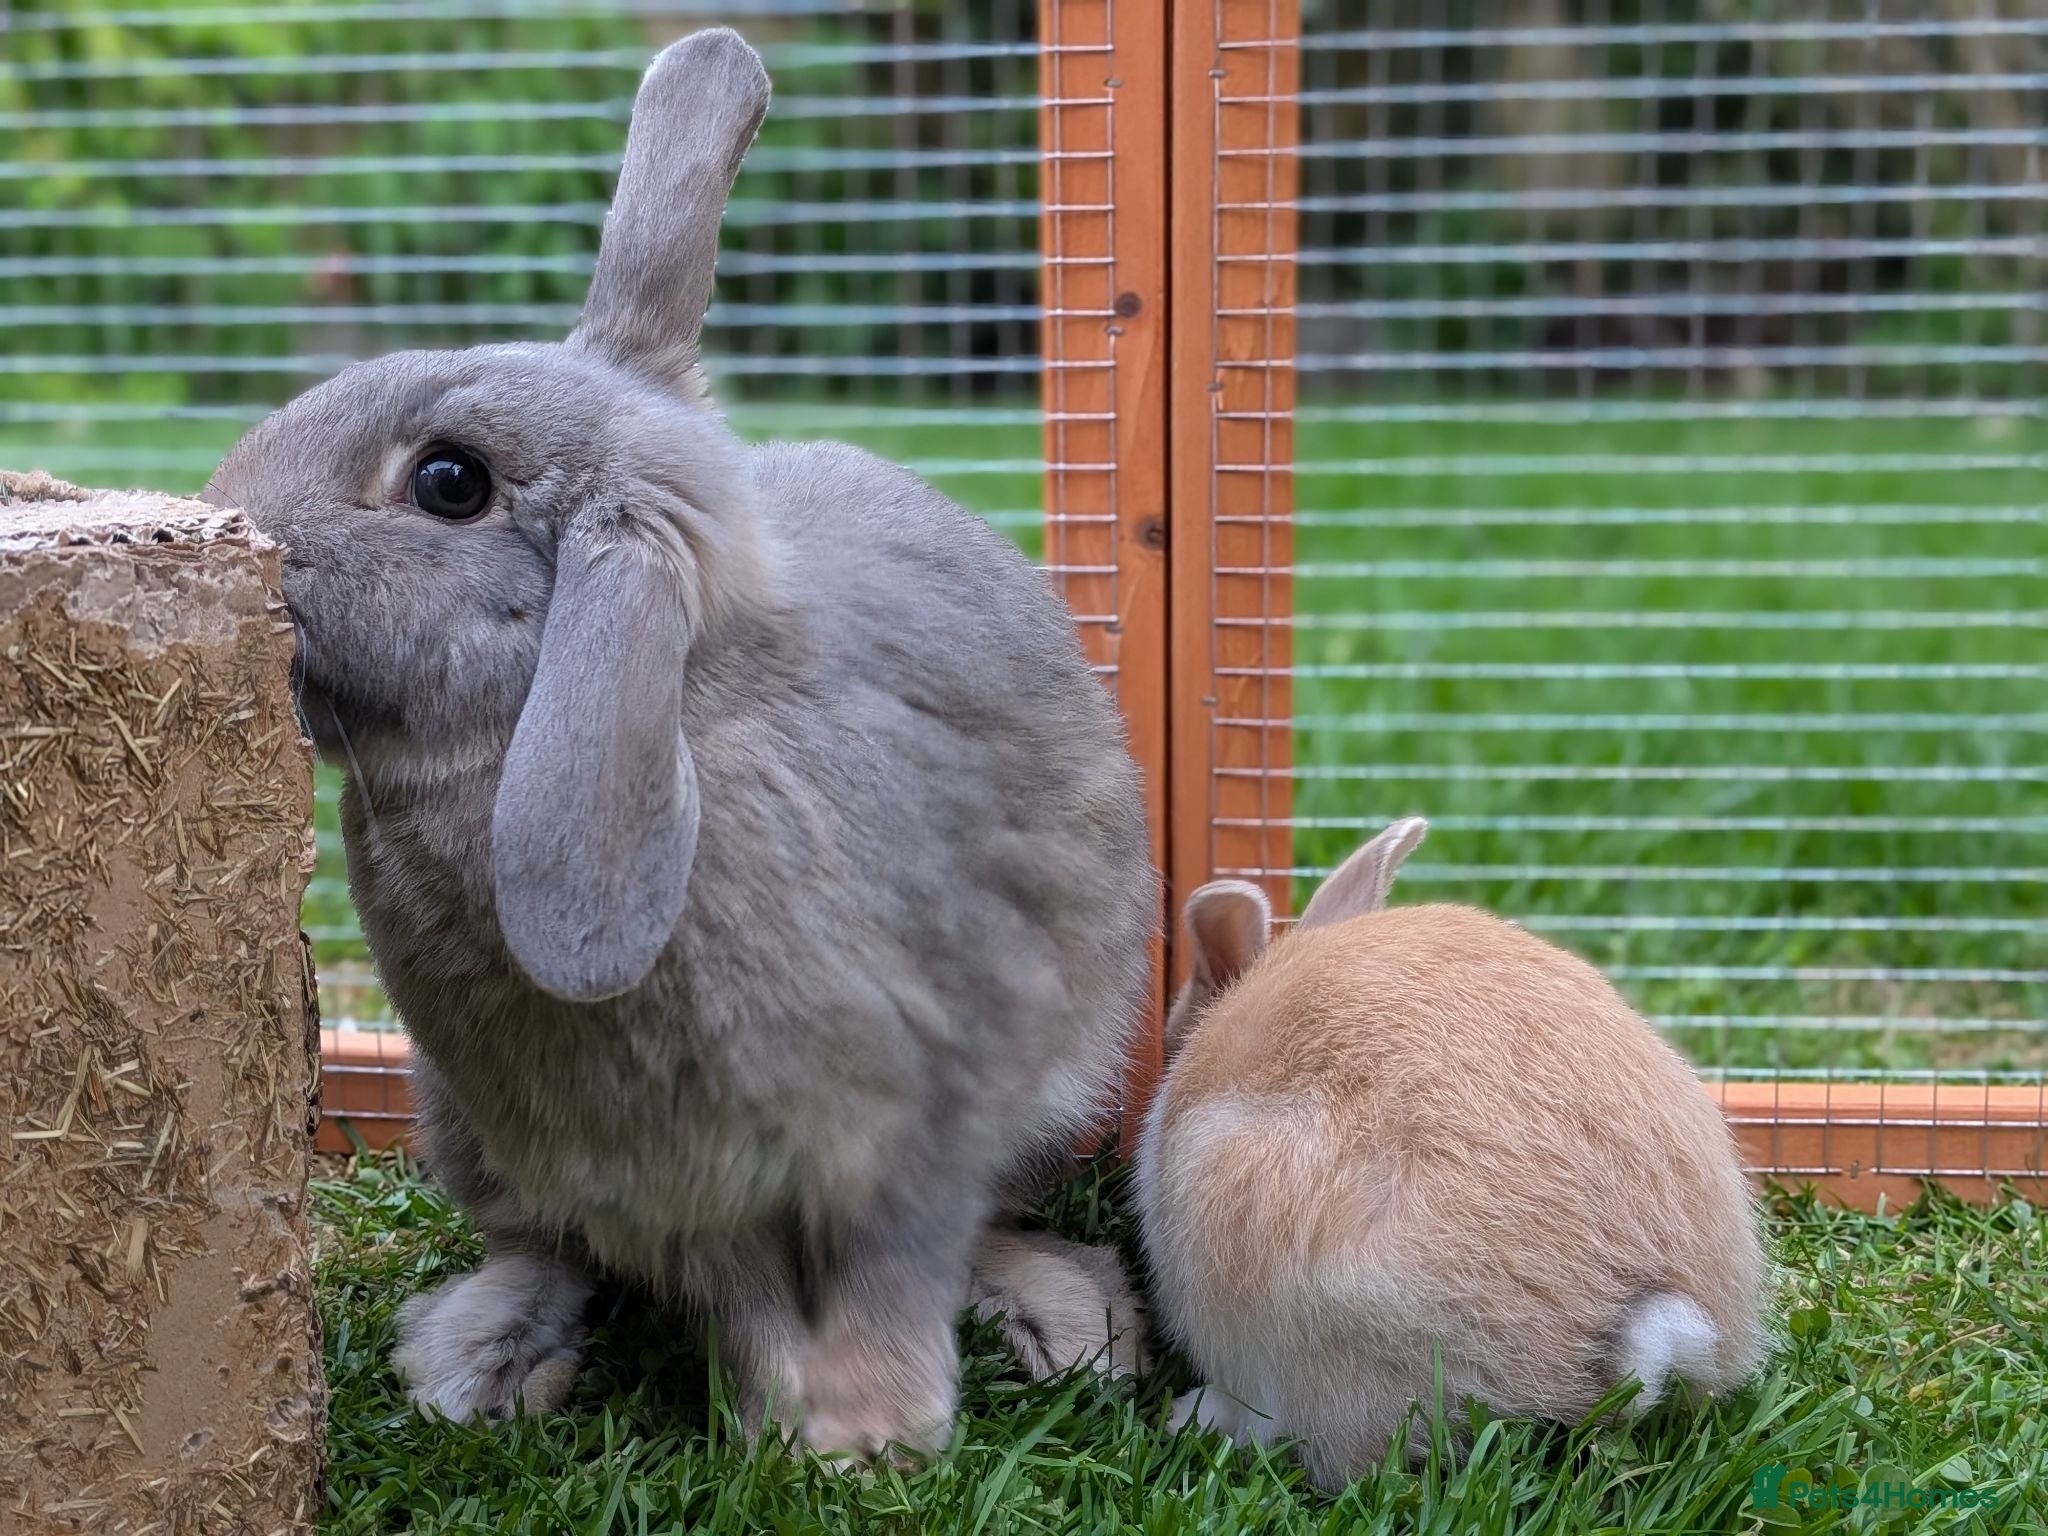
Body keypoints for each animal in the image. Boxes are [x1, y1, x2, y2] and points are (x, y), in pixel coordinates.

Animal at [204, 28, 1154, 1458]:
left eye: (448, 482)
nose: (222, 518)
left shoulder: (916, 1125)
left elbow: (899, 1263)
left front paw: (870, 1436)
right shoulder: (659, 1178)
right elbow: (737, 1296)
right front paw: (790, 1433)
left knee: (990, 1221)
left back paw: (1064, 1324)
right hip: (459, 1123)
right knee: (540, 1245)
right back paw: (481, 1361)